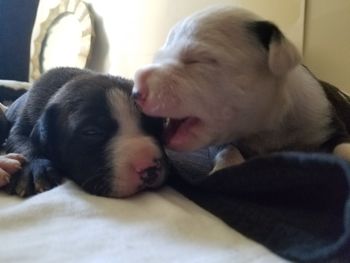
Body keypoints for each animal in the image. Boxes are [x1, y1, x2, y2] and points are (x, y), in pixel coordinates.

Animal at [2, 67, 167, 197]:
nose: (150, 168)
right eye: (91, 132)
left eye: (157, 125)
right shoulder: (22, 122)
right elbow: (22, 143)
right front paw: (34, 168)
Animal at [132, 6, 350, 173]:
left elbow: (343, 145)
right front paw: (223, 169)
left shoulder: (325, 119)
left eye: (196, 60)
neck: (266, 128)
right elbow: (228, 150)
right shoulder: (221, 141)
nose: (136, 91)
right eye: (158, 57)